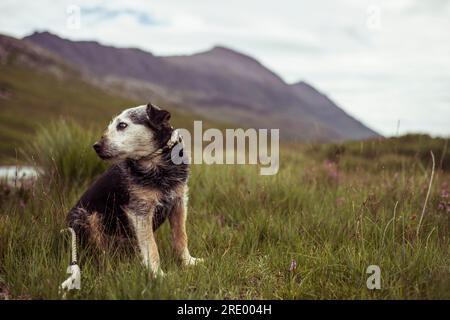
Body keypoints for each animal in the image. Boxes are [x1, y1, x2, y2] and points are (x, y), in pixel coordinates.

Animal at [66, 103, 201, 278]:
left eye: (122, 125)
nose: (96, 146)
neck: (158, 164)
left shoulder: (179, 202)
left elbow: (181, 236)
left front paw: (188, 262)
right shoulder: (140, 211)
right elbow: (151, 246)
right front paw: (158, 275)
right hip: (87, 218)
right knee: (98, 252)